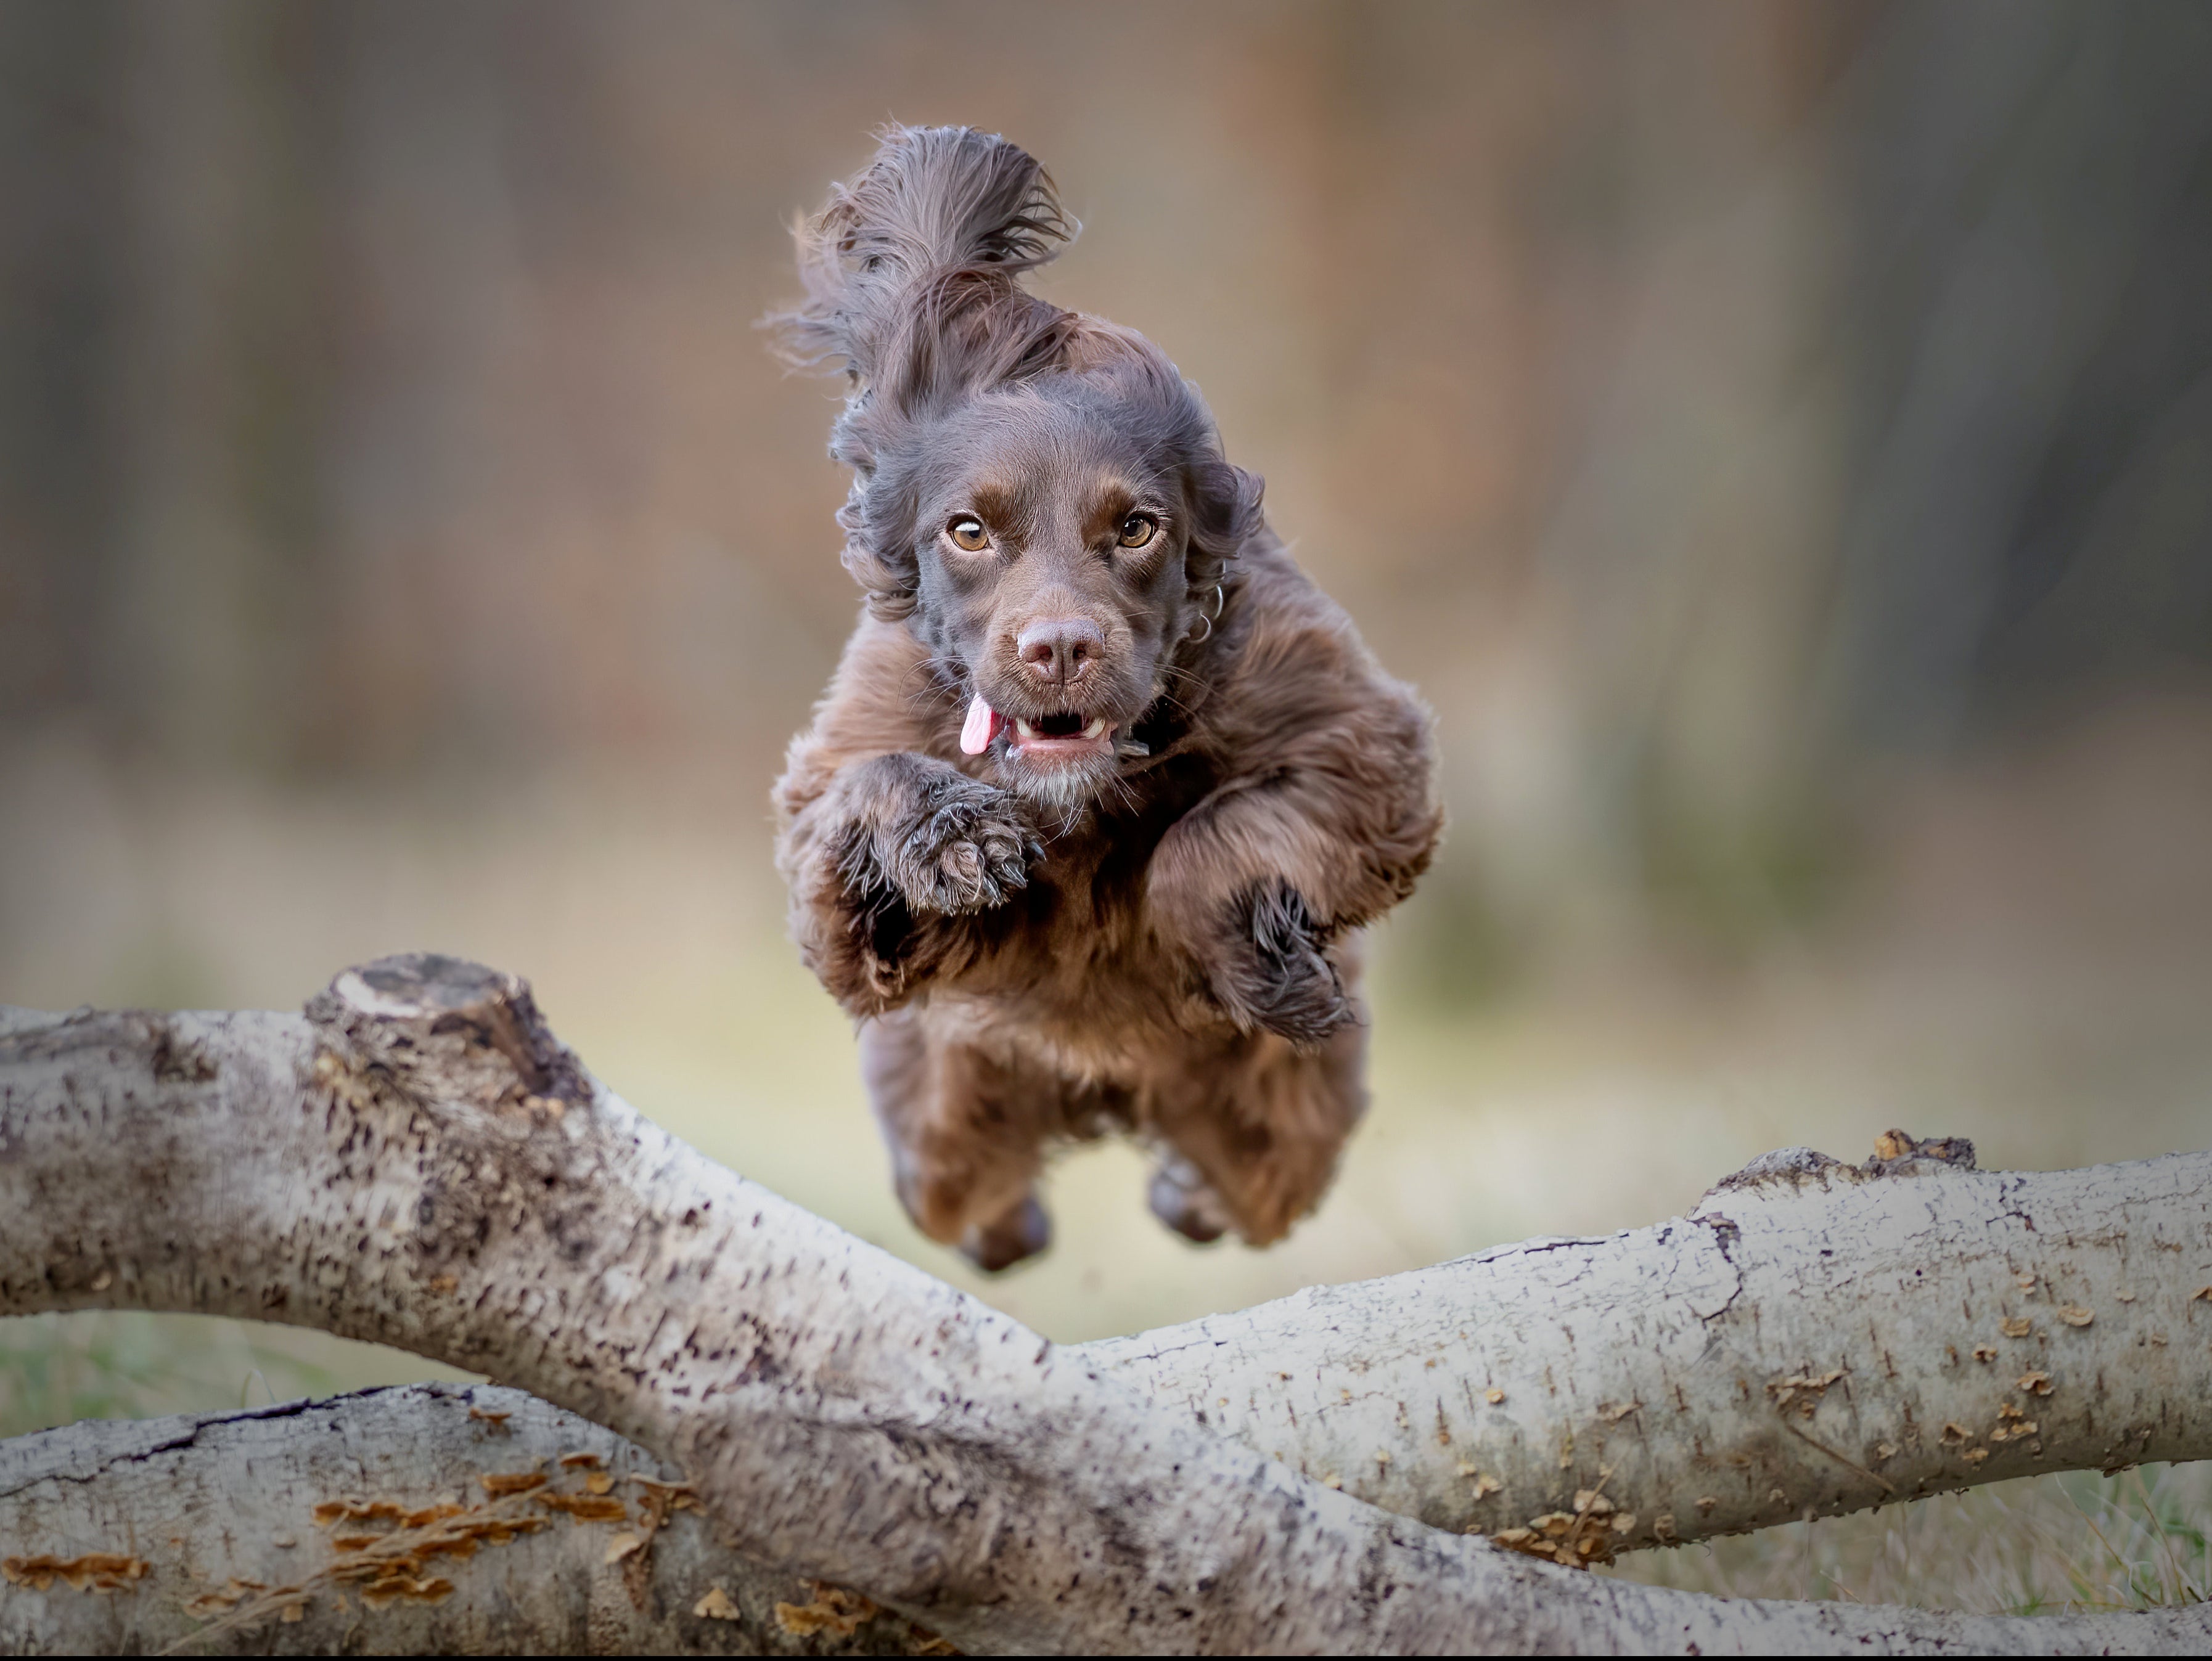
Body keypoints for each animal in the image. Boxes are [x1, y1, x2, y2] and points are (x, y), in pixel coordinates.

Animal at [769, 126, 1442, 1274]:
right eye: (967, 530)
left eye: (1135, 528)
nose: (1060, 649)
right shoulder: (838, 813)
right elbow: (865, 792)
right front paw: (959, 841)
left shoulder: (1362, 744)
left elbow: (1200, 847)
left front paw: (1264, 968)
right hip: (940, 1127)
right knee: (970, 1201)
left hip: (1285, 1131)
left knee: (1252, 1185)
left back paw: (1186, 1185)